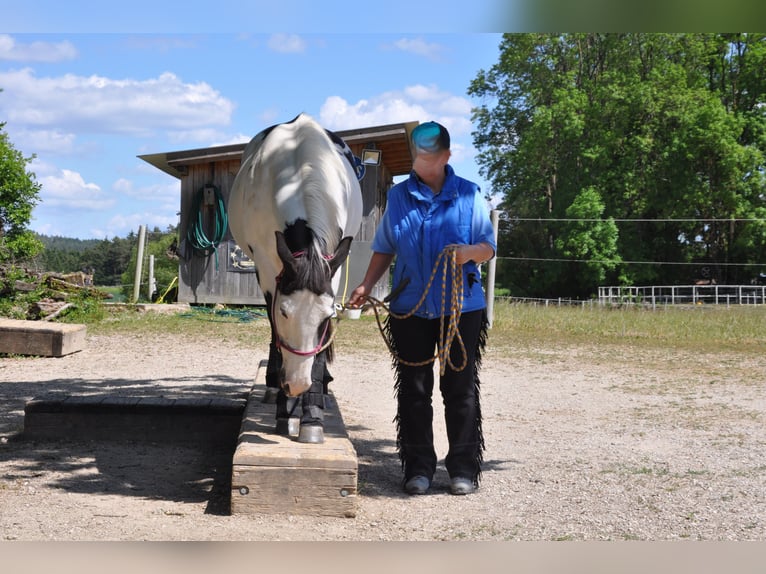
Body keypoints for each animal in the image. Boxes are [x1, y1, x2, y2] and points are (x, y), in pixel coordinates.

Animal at [228, 113, 363, 443]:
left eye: (326, 317)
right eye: (285, 312)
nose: (297, 385)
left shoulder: (331, 269)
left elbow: (319, 352)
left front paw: (312, 416)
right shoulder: (266, 269)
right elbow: (275, 331)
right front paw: (284, 410)